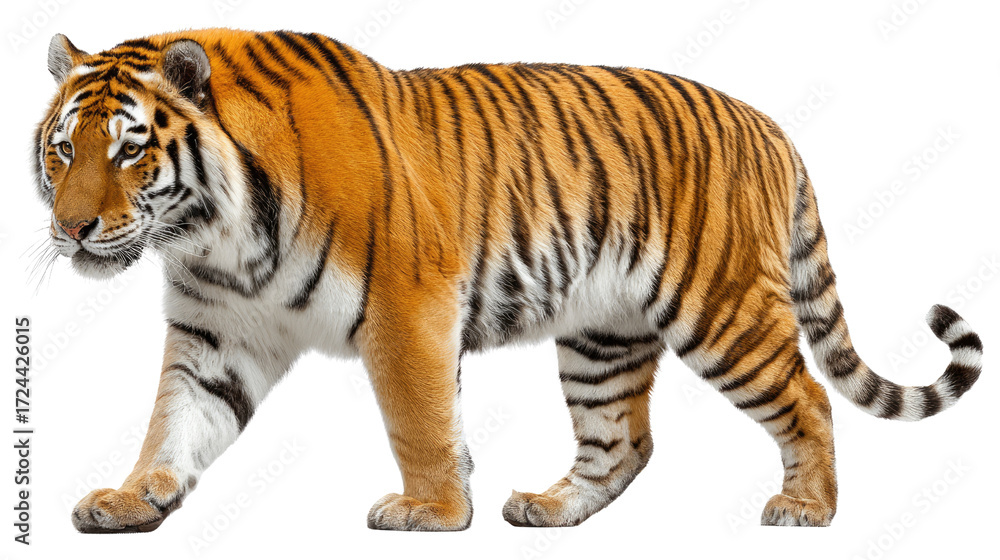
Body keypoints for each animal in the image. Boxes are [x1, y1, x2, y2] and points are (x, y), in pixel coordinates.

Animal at [34, 28, 983, 532]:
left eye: (130, 148)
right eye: (63, 149)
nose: (71, 228)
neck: (214, 234)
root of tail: (768, 123)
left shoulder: (407, 307)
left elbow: (419, 420)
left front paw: (430, 512)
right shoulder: (216, 329)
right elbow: (175, 422)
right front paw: (130, 499)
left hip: (723, 311)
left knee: (809, 398)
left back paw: (806, 509)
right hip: (603, 336)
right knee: (624, 441)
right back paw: (551, 509)